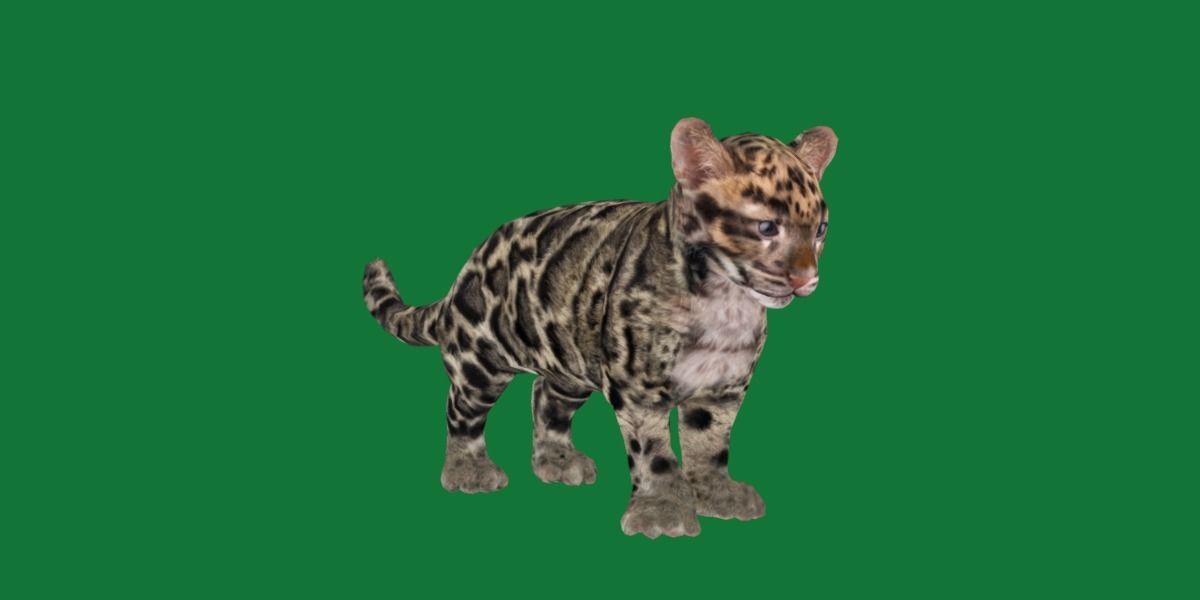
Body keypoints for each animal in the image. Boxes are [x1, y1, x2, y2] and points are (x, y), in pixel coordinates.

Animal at [363, 117, 837, 538]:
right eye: (766, 227)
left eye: (820, 230)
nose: (806, 279)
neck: (725, 303)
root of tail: (465, 272)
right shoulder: (639, 388)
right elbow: (654, 454)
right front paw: (662, 509)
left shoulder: (722, 389)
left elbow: (710, 445)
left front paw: (715, 493)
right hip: (481, 360)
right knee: (460, 411)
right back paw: (469, 469)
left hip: (570, 359)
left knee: (546, 399)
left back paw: (557, 460)